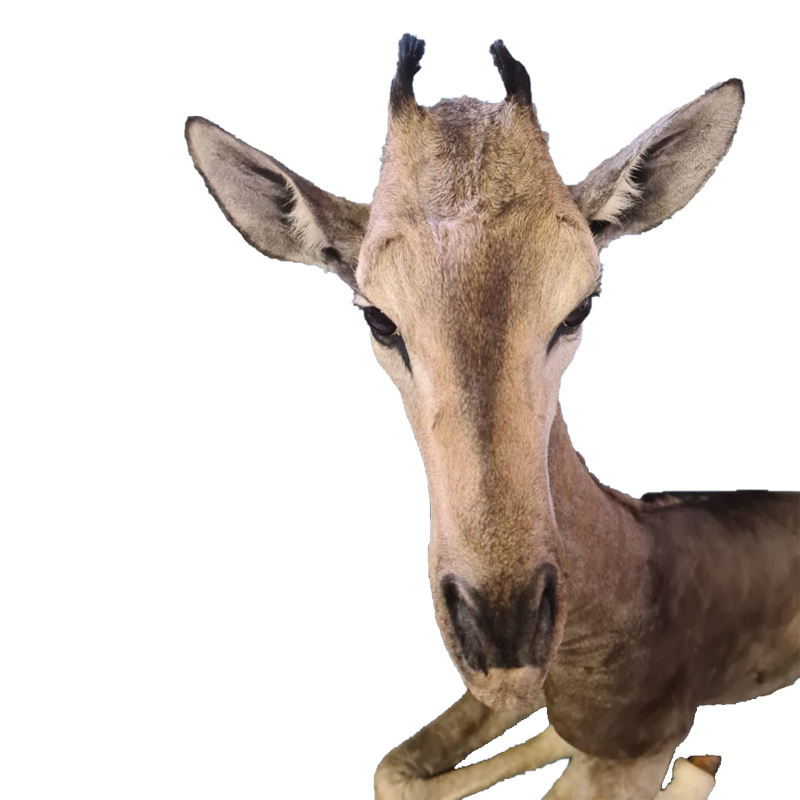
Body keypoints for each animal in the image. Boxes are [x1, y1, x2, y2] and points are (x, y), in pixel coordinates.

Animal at [184, 34, 800, 800]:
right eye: (379, 317)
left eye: (580, 306)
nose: (504, 630)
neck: (631, 566)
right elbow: (396, 769)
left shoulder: (631, 747)